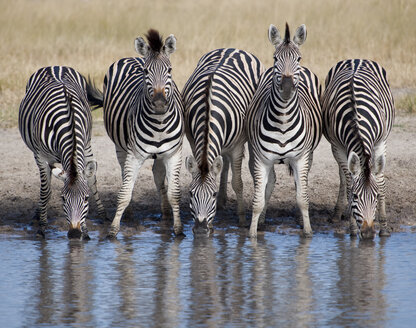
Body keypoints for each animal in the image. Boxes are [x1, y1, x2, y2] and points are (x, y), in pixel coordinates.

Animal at [19, 65, 107, 240]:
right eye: (63, 199)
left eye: (86, 199)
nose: (74, 233)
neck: (69, 124)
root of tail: (54, 66)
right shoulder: (41, 156)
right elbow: (46, 191)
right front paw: (42, 228)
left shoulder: (84, 146)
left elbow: (90, 181)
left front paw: (86, 232)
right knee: (45, 186)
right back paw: (38, 215)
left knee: (91, 179)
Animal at [101, 28, 184, 238]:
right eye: (146, 72)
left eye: (170, 70)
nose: (160, 104)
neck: (159, 125)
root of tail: (133, 57)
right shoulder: (134, 155)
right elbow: (124, 193)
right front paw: (113, 230)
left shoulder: (173, 154)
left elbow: (174, 193)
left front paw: (179, 230)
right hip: (120, 147)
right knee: (125, 176)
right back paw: (130, 214)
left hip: (161, 154)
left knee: (158, 174)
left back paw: (165, 213)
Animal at [182, 47, 264, 234]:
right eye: (190, 194)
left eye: (211, 194)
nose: (200, 228)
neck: (208, 110)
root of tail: (231, 48)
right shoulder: (193, 141)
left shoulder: (237, 146)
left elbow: (237, 183)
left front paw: (242, 219)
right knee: (223, 164)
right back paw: (222, 200)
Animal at [245, 23, 324, 238]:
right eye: (275, 59)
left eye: (298, 58)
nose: (287, 86)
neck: (283, 120)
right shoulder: (261, 159)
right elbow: (257, 200)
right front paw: (252, 235)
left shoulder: (301, 158)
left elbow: (302, 198)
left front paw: (308, 232)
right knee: (270, 183)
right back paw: (262, 220)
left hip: (309, 154)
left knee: (300, 185)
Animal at [320, 58, 394, 238]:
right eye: (355, 196)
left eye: (375, 196)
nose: (367, 233)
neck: (355, 117)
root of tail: (355, 59)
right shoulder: (338, 146)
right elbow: (348, 182)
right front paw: (352, 228)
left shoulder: (381, 142)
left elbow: (380, 180)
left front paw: (384, 227)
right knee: (343, 176)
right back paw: (338, 213)